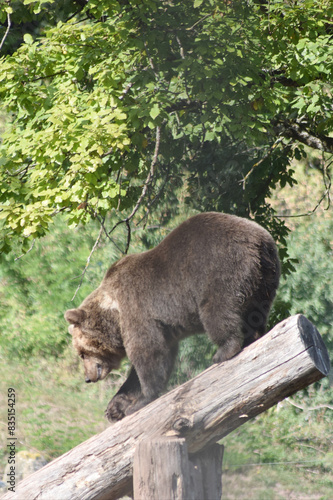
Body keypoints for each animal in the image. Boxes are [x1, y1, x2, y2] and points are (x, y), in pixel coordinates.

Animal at [63, 212, 278, 422]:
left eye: (82, 353)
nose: (88, 377)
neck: (113, 312)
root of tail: (259, 239)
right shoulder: (164, 328)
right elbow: (153, 361)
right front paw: (115, 407)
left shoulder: (136, 309)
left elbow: (147, 352)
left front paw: (139, 402)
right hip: (264, 279)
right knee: (256, 314)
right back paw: (252, 338)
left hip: (220, 268)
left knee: (218, 311)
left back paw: (223, 352)